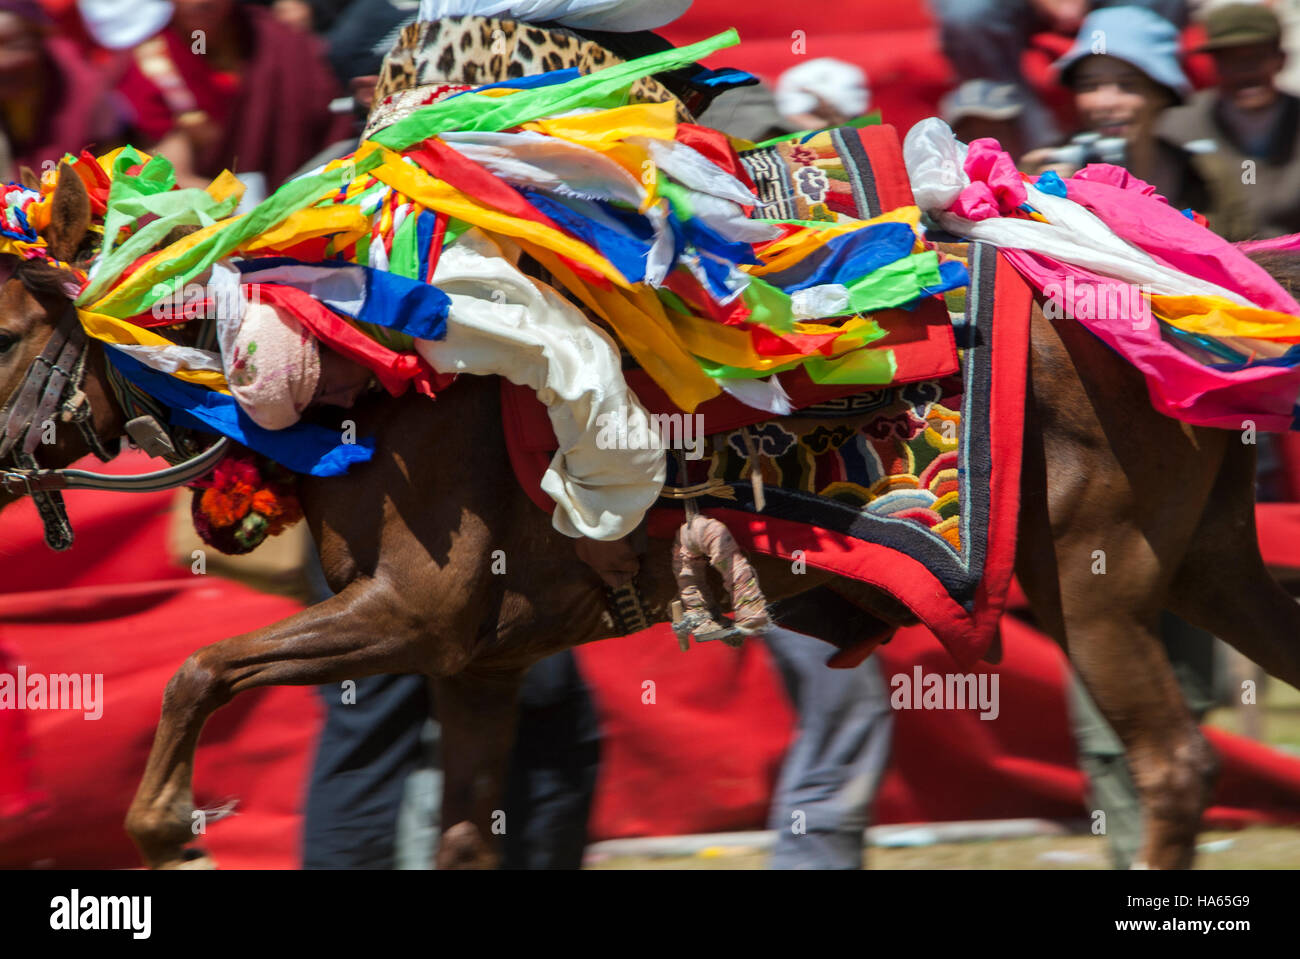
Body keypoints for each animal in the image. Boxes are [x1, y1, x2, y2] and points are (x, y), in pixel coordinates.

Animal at [7, 155, 1300, 868]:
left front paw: (168, 824)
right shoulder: (475, 661)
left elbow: (198, 669)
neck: (356, 368)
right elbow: (465, 833)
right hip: (1205, 558)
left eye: (11, 329)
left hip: (1092, 575)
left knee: (1174, 765)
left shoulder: (409, 613)